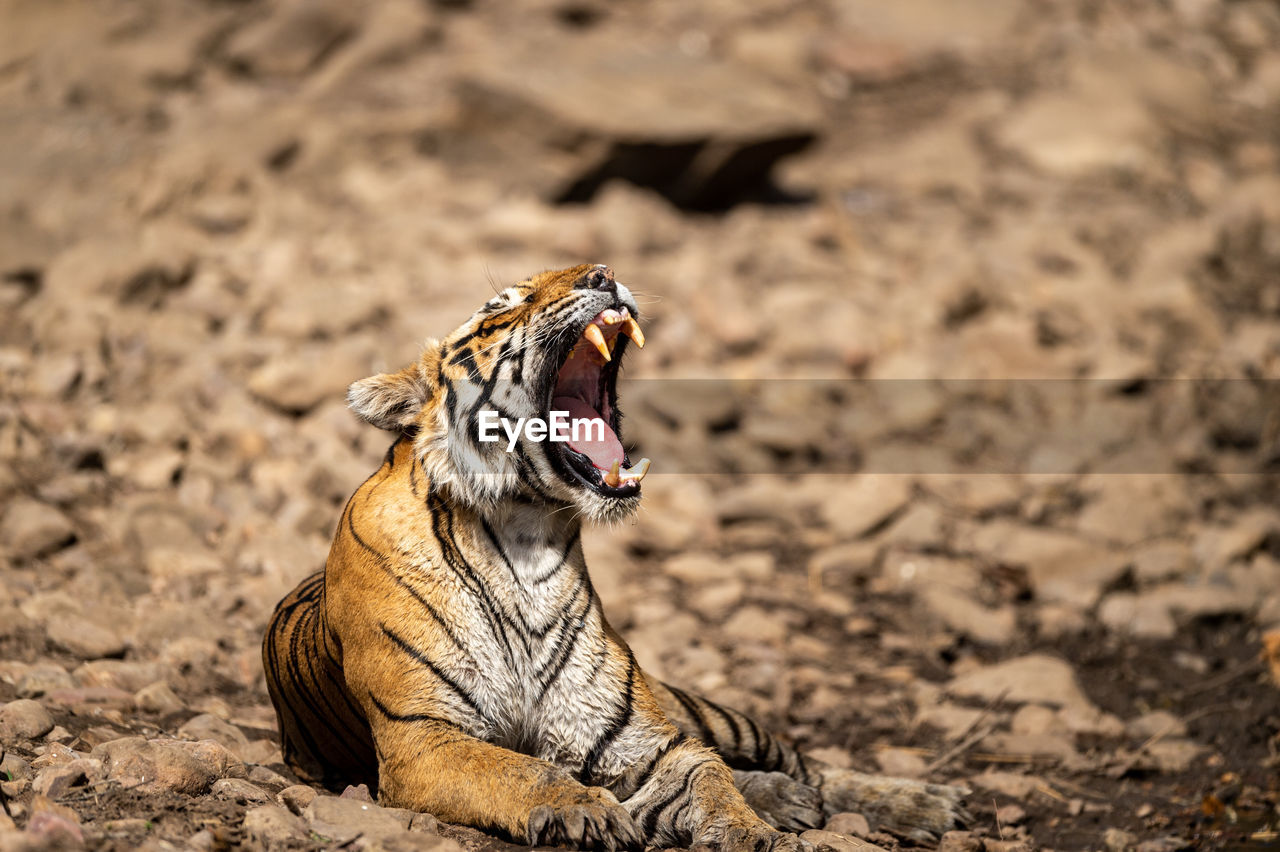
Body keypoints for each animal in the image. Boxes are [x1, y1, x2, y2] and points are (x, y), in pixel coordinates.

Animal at [262, 262, 967, 844]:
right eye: (500, 308)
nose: (602, 273)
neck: (524, 540)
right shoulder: (423, 738)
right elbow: (518, 769)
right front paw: (587, 810)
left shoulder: (641, 738)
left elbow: (711, 779)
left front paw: (752, 832)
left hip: (694, 707)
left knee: (799, 761)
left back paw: (920, 804)